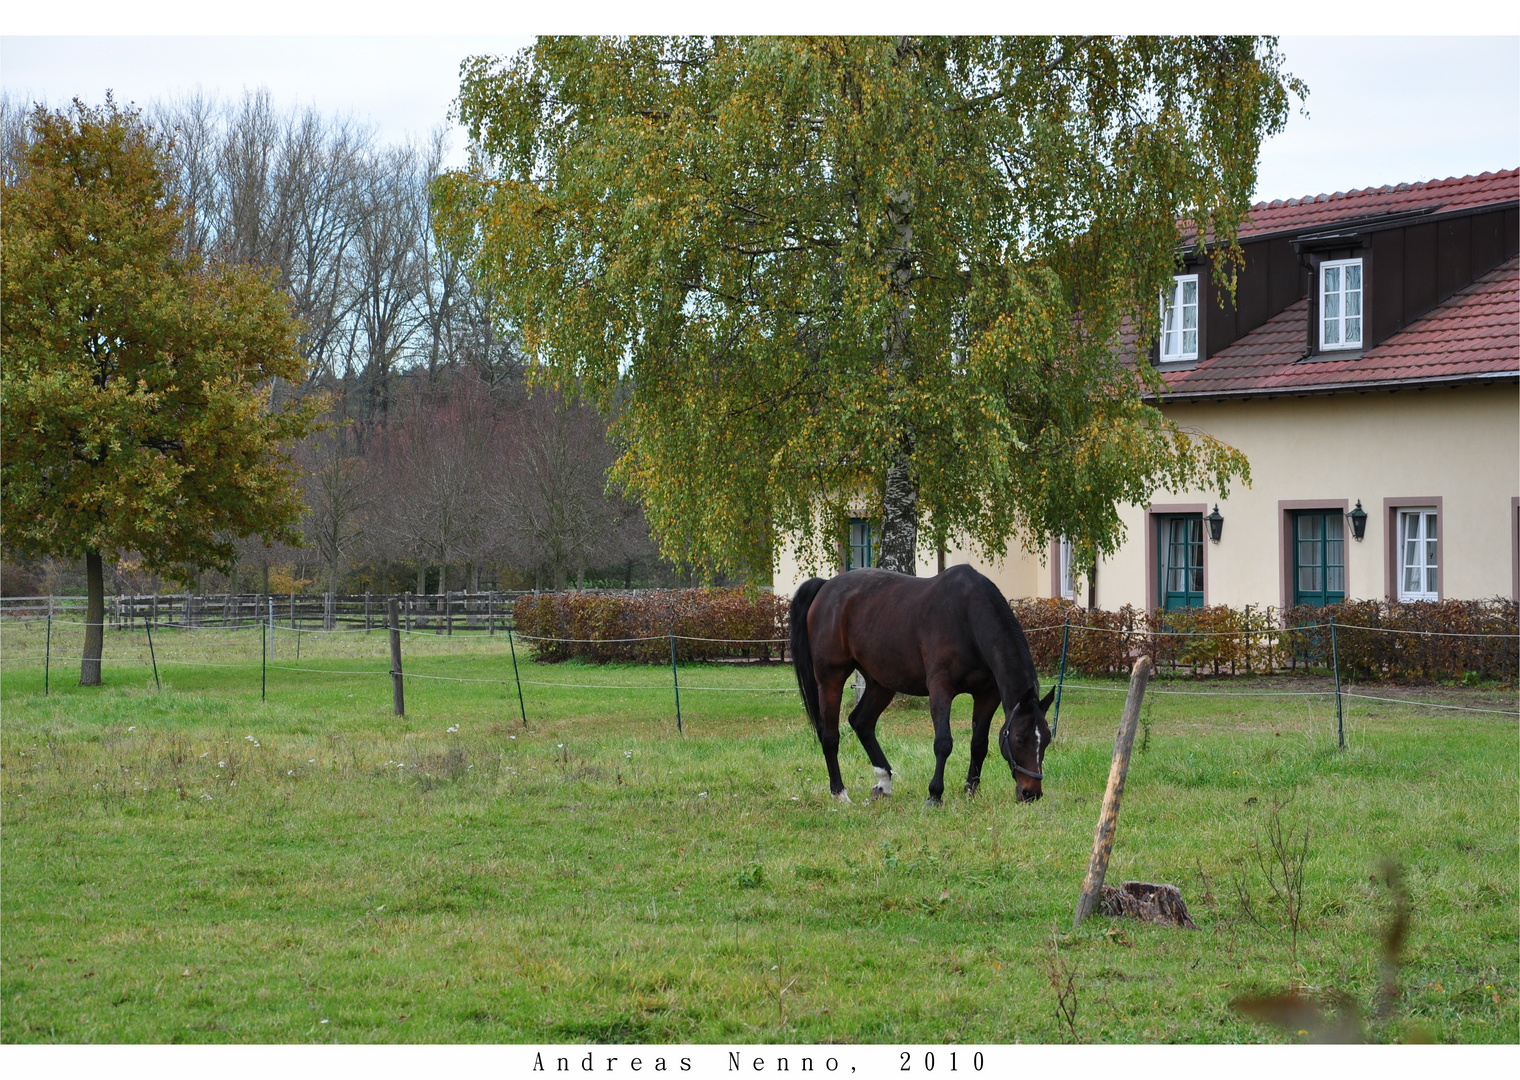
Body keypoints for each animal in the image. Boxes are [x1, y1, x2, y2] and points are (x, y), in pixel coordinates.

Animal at [784, 565, 1057, 802]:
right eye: (1019, 738)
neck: (967, 617)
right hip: (831, 678)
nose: (1031, 793)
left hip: (881, 683)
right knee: (830, 735)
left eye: (1046, 739)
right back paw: (840, 793)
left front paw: (970, 791)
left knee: (862, 722)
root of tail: (826, 586)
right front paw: (935, 794)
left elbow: (979, 744)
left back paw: (884, 782)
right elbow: (943, 742)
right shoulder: (940, 689)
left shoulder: (987, 694)